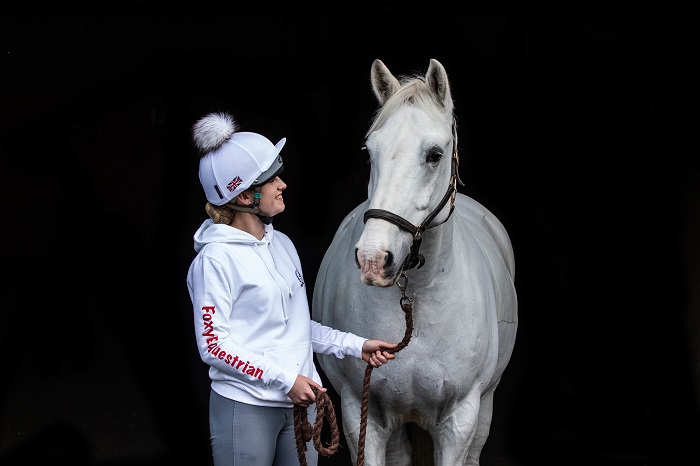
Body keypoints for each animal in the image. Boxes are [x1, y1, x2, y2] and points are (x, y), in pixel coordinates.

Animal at [312, 59, 520, 466]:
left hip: (485, 407)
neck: (418, 302)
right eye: (370, 151)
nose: (374, 259)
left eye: (434, 154)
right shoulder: (361, 414)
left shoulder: (460, 419)